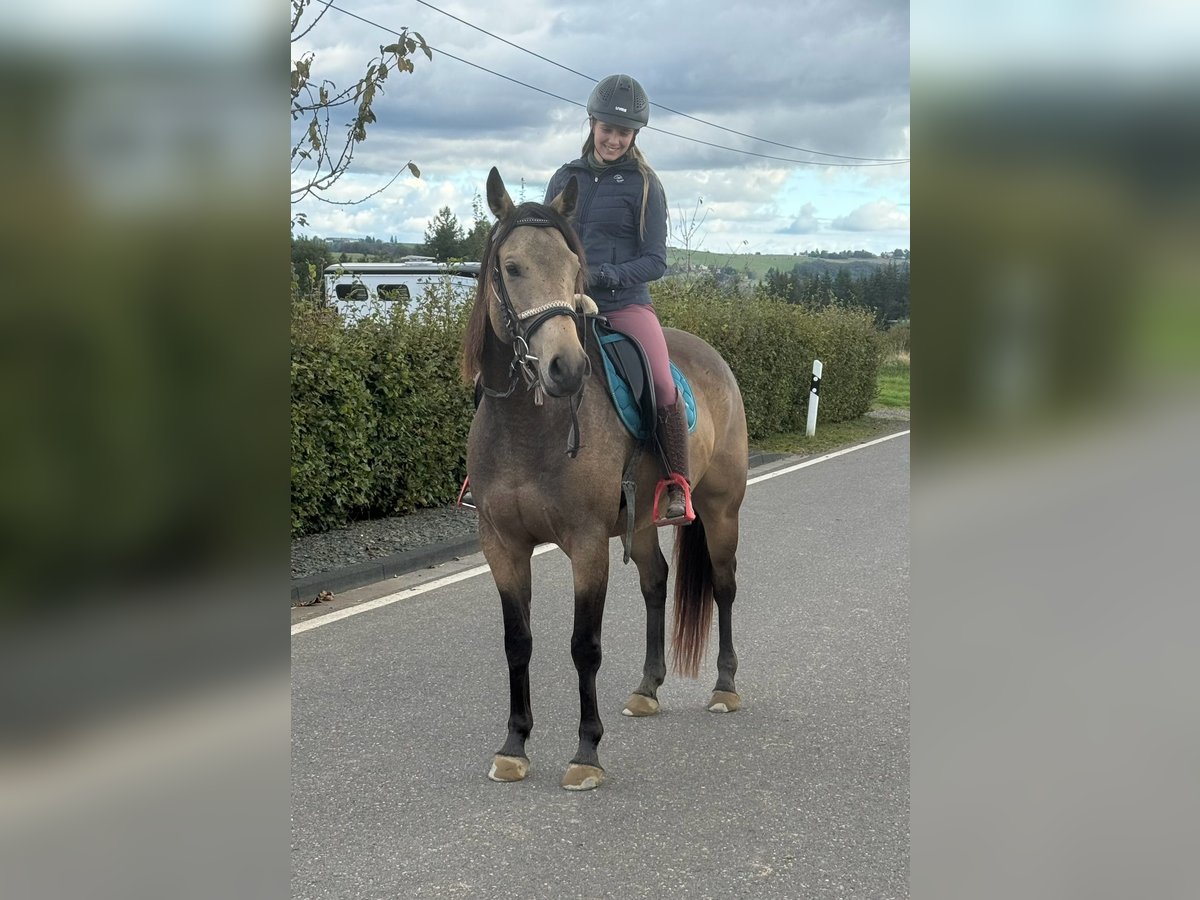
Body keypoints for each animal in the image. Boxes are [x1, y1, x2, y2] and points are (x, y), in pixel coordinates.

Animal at [460, 168, 748, 787]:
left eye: (576, 267)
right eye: (511, 266)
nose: (566, 369)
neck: (528, 429)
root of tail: (712, 355)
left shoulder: (587, 544)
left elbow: (584, 646)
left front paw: (586, 752)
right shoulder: (502, 545)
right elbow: (517, 642)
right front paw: (514, 745)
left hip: (720, 510)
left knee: (724, 585)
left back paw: (725, 686)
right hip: (638, 524)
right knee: (656, 582)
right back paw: (647, 688)